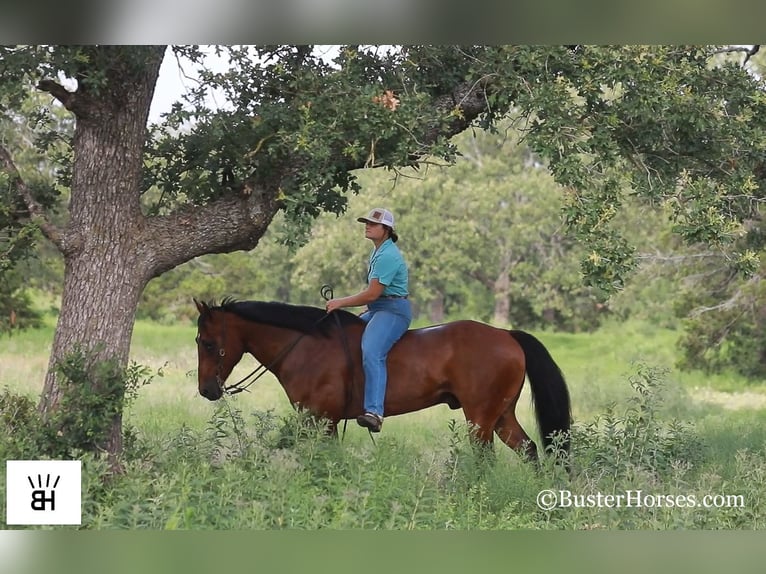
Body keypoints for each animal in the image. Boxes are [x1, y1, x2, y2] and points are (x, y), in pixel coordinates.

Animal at [195, 300, 572, 462]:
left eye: (208, 343)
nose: (207, 390)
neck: (306, 345)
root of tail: (506, 335)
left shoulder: (322, 419)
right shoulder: (315, 420)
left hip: (480, 419)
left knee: (485, 458)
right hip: (502, 416)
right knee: (529, 450)